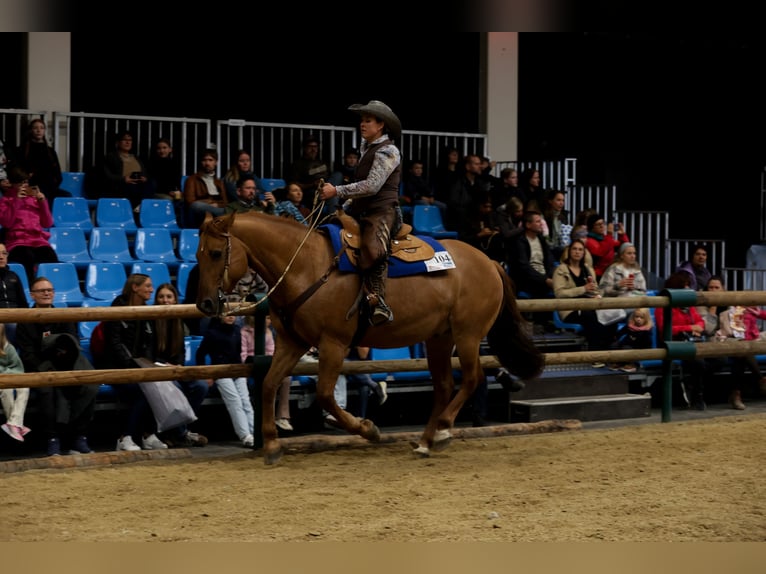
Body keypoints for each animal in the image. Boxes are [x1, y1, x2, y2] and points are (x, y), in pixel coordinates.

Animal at [195, 211, 544, 464]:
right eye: (198, 255)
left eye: (215, 252)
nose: (206, 304)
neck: (305, 266)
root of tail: (490, 262)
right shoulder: (292, 343)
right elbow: (268, 384)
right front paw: (270, 445)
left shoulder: (333, 344)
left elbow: (325, 394)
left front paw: (367, 429)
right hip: (439, 338)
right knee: (445, 385)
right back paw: (426, 441)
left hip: (468, 334)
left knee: (471, 379)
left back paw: (443, 431)